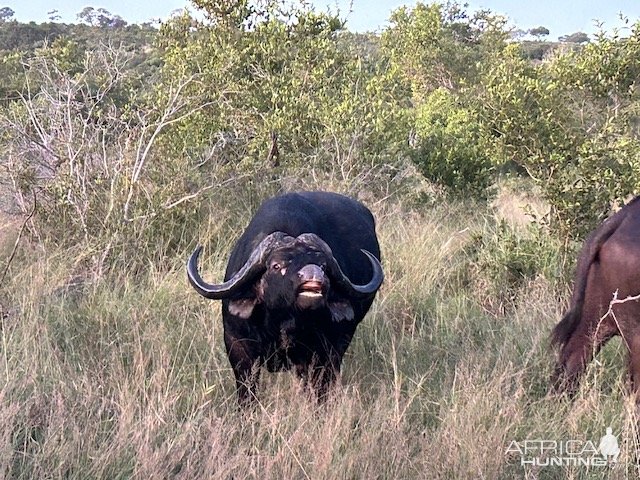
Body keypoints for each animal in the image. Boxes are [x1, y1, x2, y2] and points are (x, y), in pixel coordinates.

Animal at [188, 191, 382, 404]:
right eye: (276, 265)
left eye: (323, 266)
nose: (314, 276)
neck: (282, 324)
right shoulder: (237, 345)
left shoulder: (326, 351)